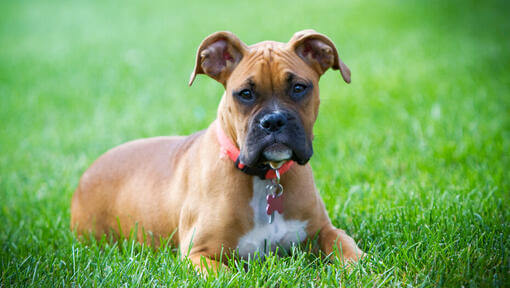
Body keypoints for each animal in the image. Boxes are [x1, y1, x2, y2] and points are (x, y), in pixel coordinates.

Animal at [71, 29, 364, 274]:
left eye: (299, 88)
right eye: (245, 93)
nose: (273, 121)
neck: (264, 178)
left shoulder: (323, 230)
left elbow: (346, 248)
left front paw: (360, 268)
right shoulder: (197, 255)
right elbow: (229, 274)